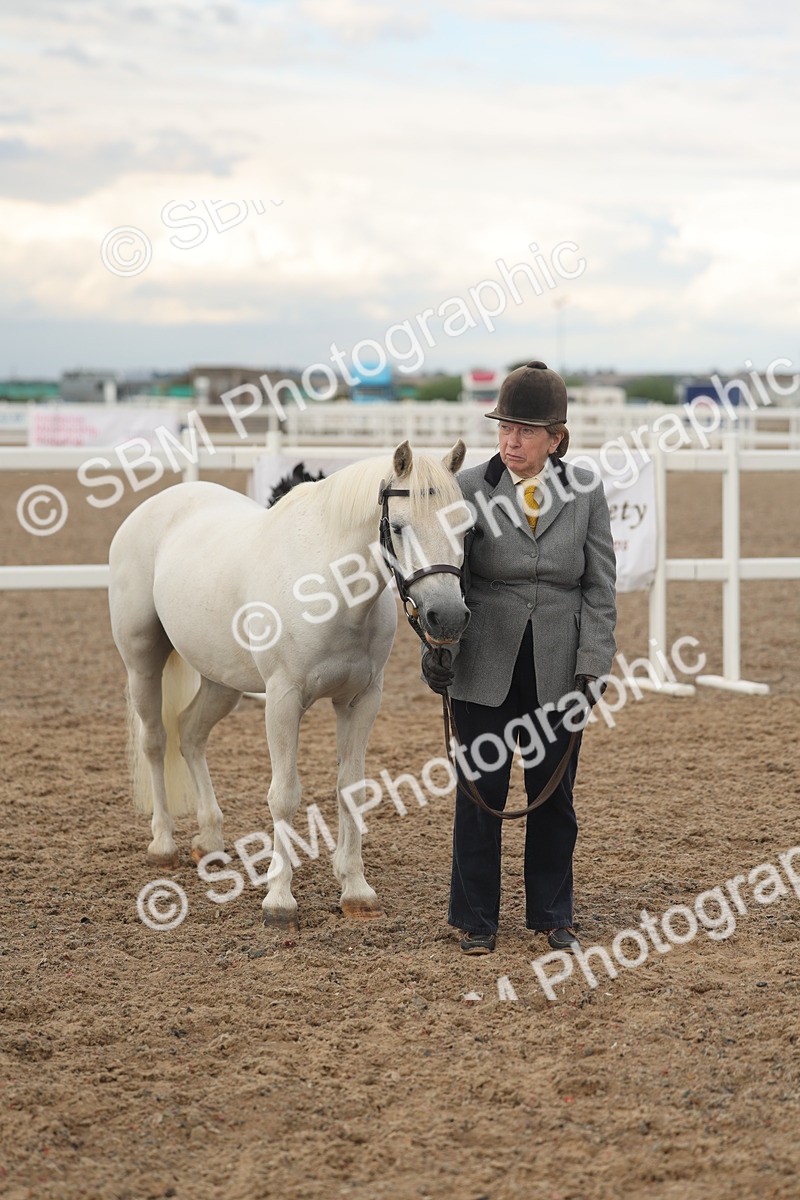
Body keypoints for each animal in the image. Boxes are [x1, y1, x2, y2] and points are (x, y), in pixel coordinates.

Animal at [108, 440, 470, 930]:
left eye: (466, 525)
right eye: (398, 526)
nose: (446, 618)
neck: (329, 588)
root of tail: (152, 508)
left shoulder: (361, 701)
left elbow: (351, 789)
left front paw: (356, 890)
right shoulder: (282, 700)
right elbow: (283, 796)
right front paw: (278, 901)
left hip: (221, 682)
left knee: (191, 735)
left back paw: (210, 839)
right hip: (142, 662)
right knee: (155, 741)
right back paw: (164, 843)